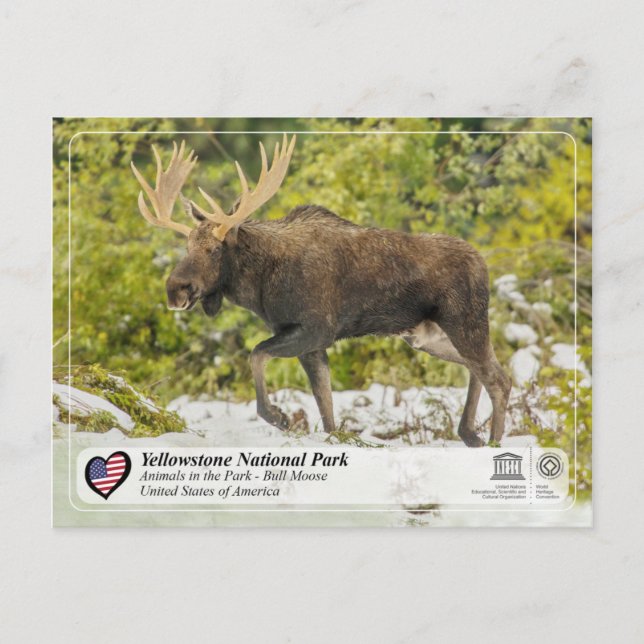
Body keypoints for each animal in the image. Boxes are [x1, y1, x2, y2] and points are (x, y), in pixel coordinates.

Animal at [131, 136, 511, 447]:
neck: (261, 288)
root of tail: (484, 264)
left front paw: (279, 416)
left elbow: (256, 354)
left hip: (464, 321)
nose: (175, 289)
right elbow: (325, 407)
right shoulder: (307, 341)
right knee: (485, 370)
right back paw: (470, 434)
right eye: (186, 245)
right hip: (426, 335)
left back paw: (492, 441)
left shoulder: (317, 329)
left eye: (213, 249)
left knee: (499, 378)